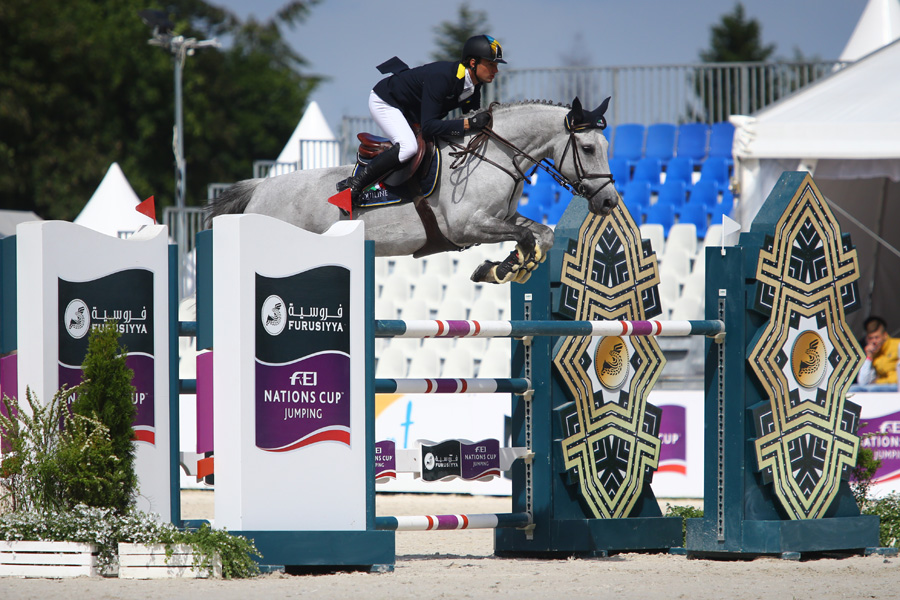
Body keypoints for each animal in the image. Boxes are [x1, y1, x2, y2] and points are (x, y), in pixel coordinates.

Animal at [207, 97, 620, 284]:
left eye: (606, 146)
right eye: (587, 148)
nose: (609, 201)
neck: (493, 154)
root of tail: (260, 187)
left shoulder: (500, 217)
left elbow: (541, 233)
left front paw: (511, 266)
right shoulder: (466, 226)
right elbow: (524, 235)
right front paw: (501, 267)